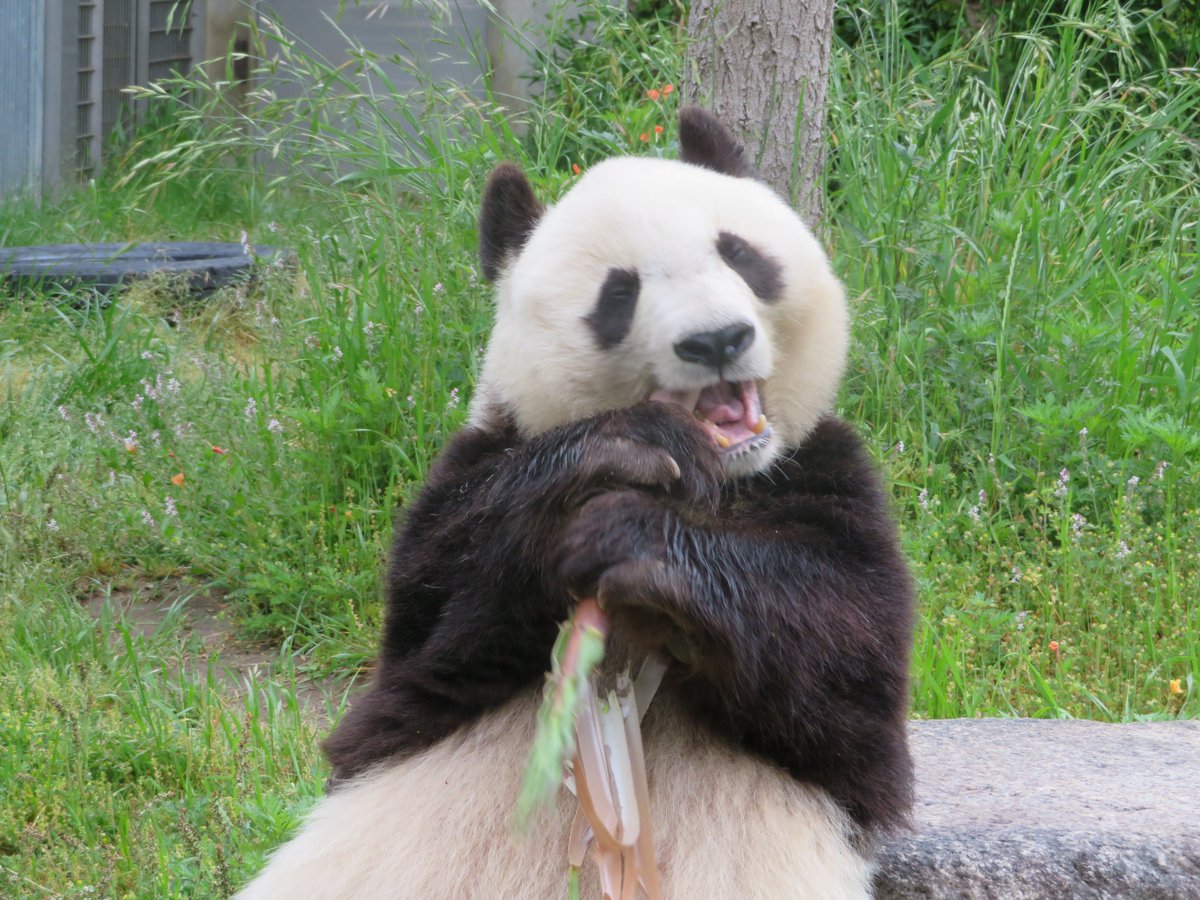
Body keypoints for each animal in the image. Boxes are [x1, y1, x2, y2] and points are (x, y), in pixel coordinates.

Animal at [238, 109, 912, 897]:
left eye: (739, 253)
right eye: (618, 293)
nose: (717, 339)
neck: (721, 477)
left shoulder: (827, 479)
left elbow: (841, 660)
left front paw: (640, 548)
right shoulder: (473, 469)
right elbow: (438, 613)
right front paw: (619, 455)